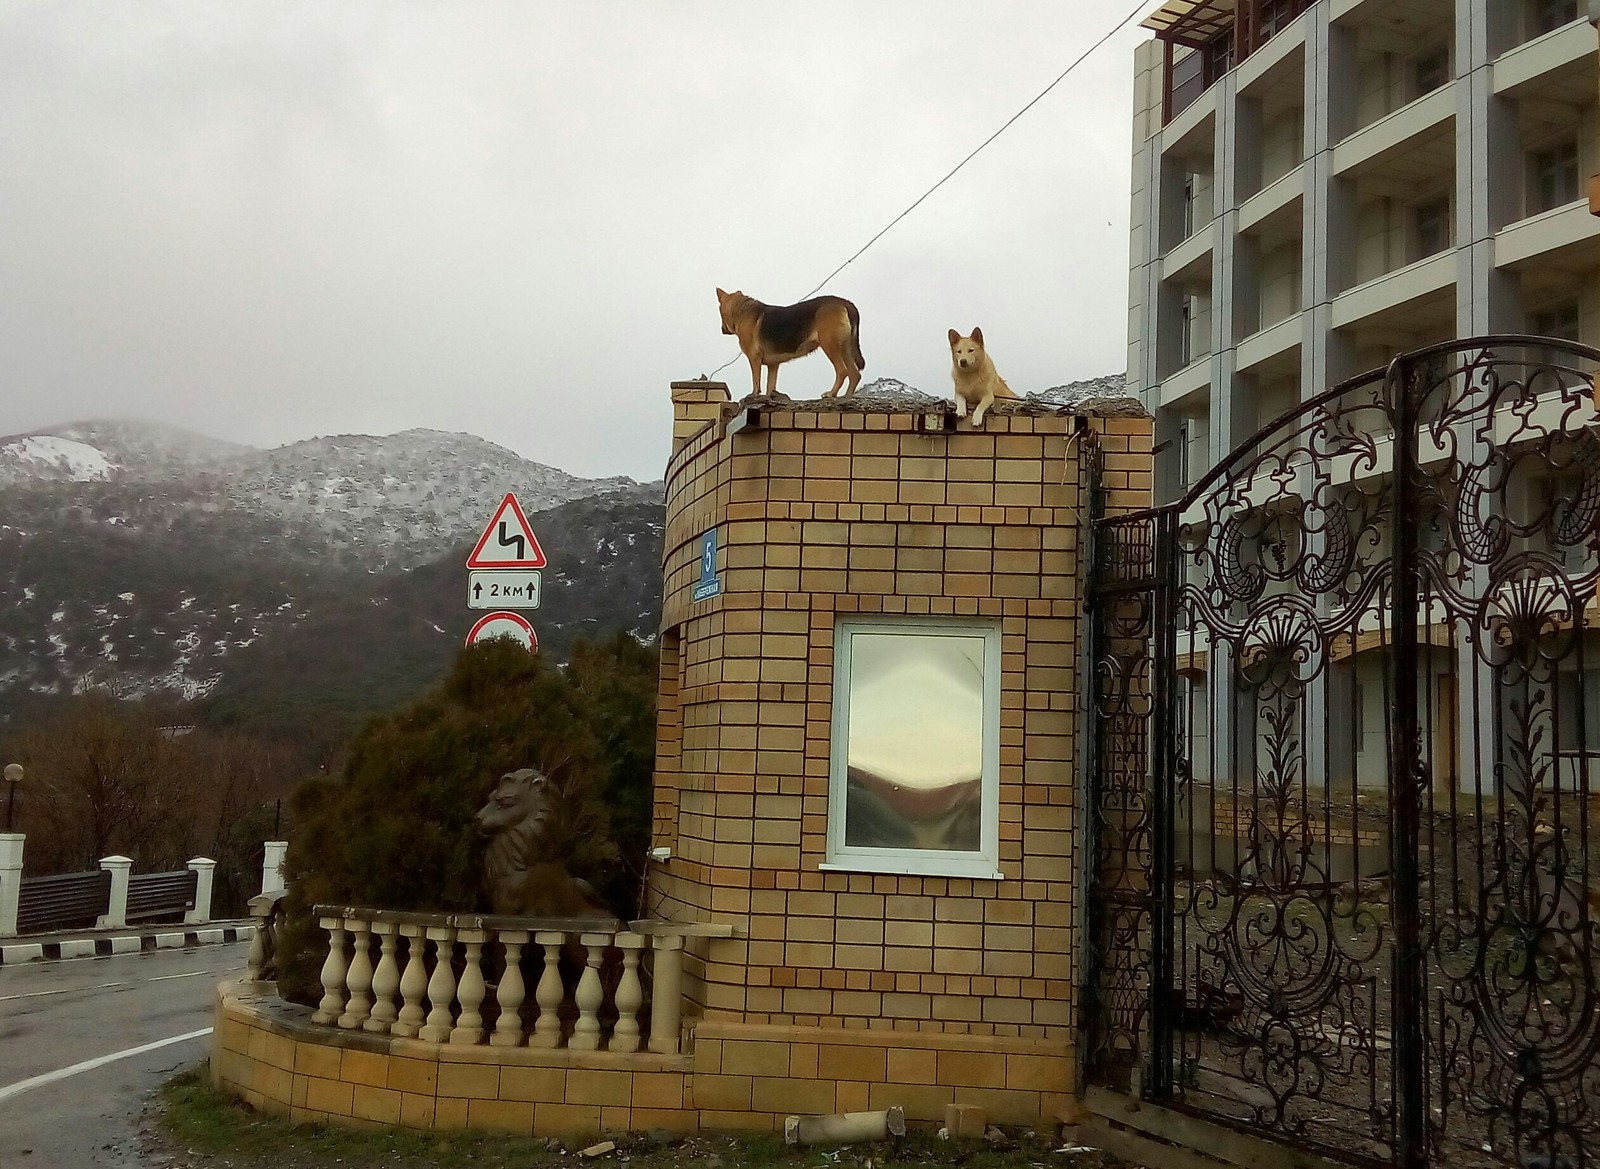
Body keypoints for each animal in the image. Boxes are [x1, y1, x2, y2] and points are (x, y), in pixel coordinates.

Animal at [716, 289, 864, 399]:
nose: (722, 329)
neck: (740, 309)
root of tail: (846, 303)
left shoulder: (754, 358)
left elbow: (756, 381)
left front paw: (754, 395)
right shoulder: (773, 365)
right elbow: (770, 385)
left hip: (830, 345)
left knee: (842, 371)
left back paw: (831, 394)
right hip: (845, 348)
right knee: (855, 374)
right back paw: (847, 397)